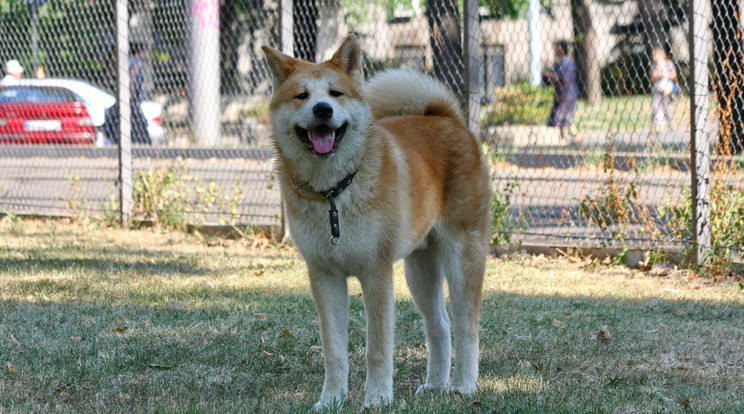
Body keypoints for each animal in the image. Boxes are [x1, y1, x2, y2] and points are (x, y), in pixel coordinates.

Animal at [264, 36, 494, 410]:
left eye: (335, 93)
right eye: (302, 96)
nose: (323, 109)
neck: (334, 192)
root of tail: (449, 119)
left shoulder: (376, 273)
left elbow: (378, 348)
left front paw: (377, 399)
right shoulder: (325, 276)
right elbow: (333, 351)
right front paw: (331, 400)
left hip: (461, 258)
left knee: (466, 327)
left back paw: (462, 386)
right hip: (420, 270)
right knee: (440, 327)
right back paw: (435, 385)